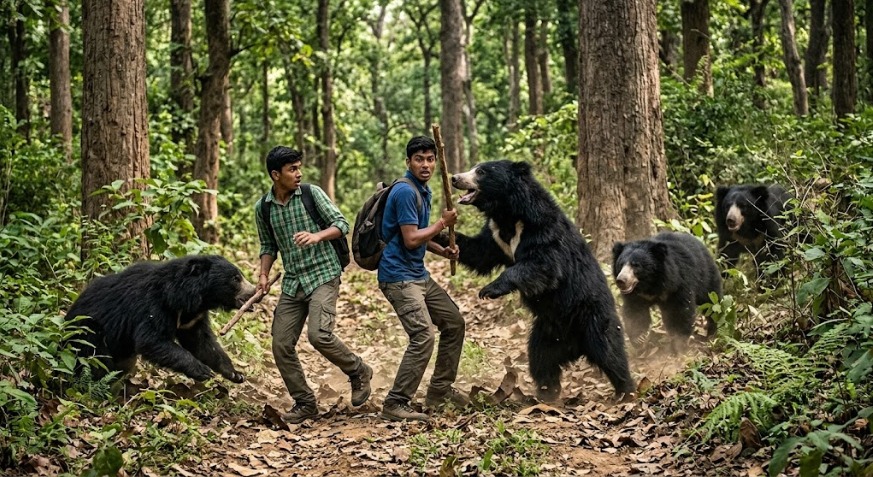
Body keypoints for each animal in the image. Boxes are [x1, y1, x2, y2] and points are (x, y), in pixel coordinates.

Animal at [65, 255, 256, 383]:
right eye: (236, 278)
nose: (254, 292)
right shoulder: (153, 305)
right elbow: (151, 339)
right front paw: (203, 371)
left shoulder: (192, 319)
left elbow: (202, 343)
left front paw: (235, 374)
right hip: (86, 331)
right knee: (95, 356)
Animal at [439, 160, 636, 402]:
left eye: (481, 172)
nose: (455, 178)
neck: (506, 213)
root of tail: (575, 347)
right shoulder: (495, 236)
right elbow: (479, 252)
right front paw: (438, 236)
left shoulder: (542, 228)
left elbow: (543, 265)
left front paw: (489, 290)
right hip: (546, 334)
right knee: (541, 361)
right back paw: (546, 393)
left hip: (593, 317)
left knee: (610, 352)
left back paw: (626, 390)